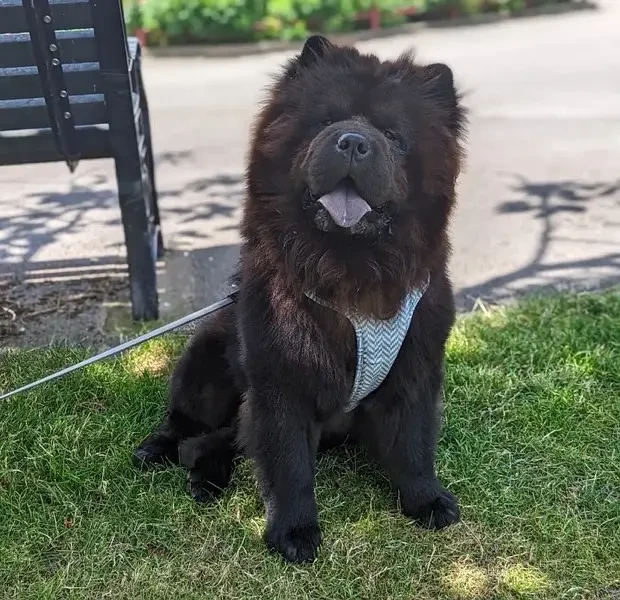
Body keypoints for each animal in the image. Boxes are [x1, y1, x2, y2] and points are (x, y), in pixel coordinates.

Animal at [134, 36, 464, 564]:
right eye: (326, 121)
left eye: (394, 136)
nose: (352, 141)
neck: (349, 278)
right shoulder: (281, 380)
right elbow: (288, 466)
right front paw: (293, 533)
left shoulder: (413, 367)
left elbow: (414, 446)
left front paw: (428, 501)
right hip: (205, 365)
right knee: (188, 422)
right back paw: (158, 451)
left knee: (226, 439)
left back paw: (204, 476)